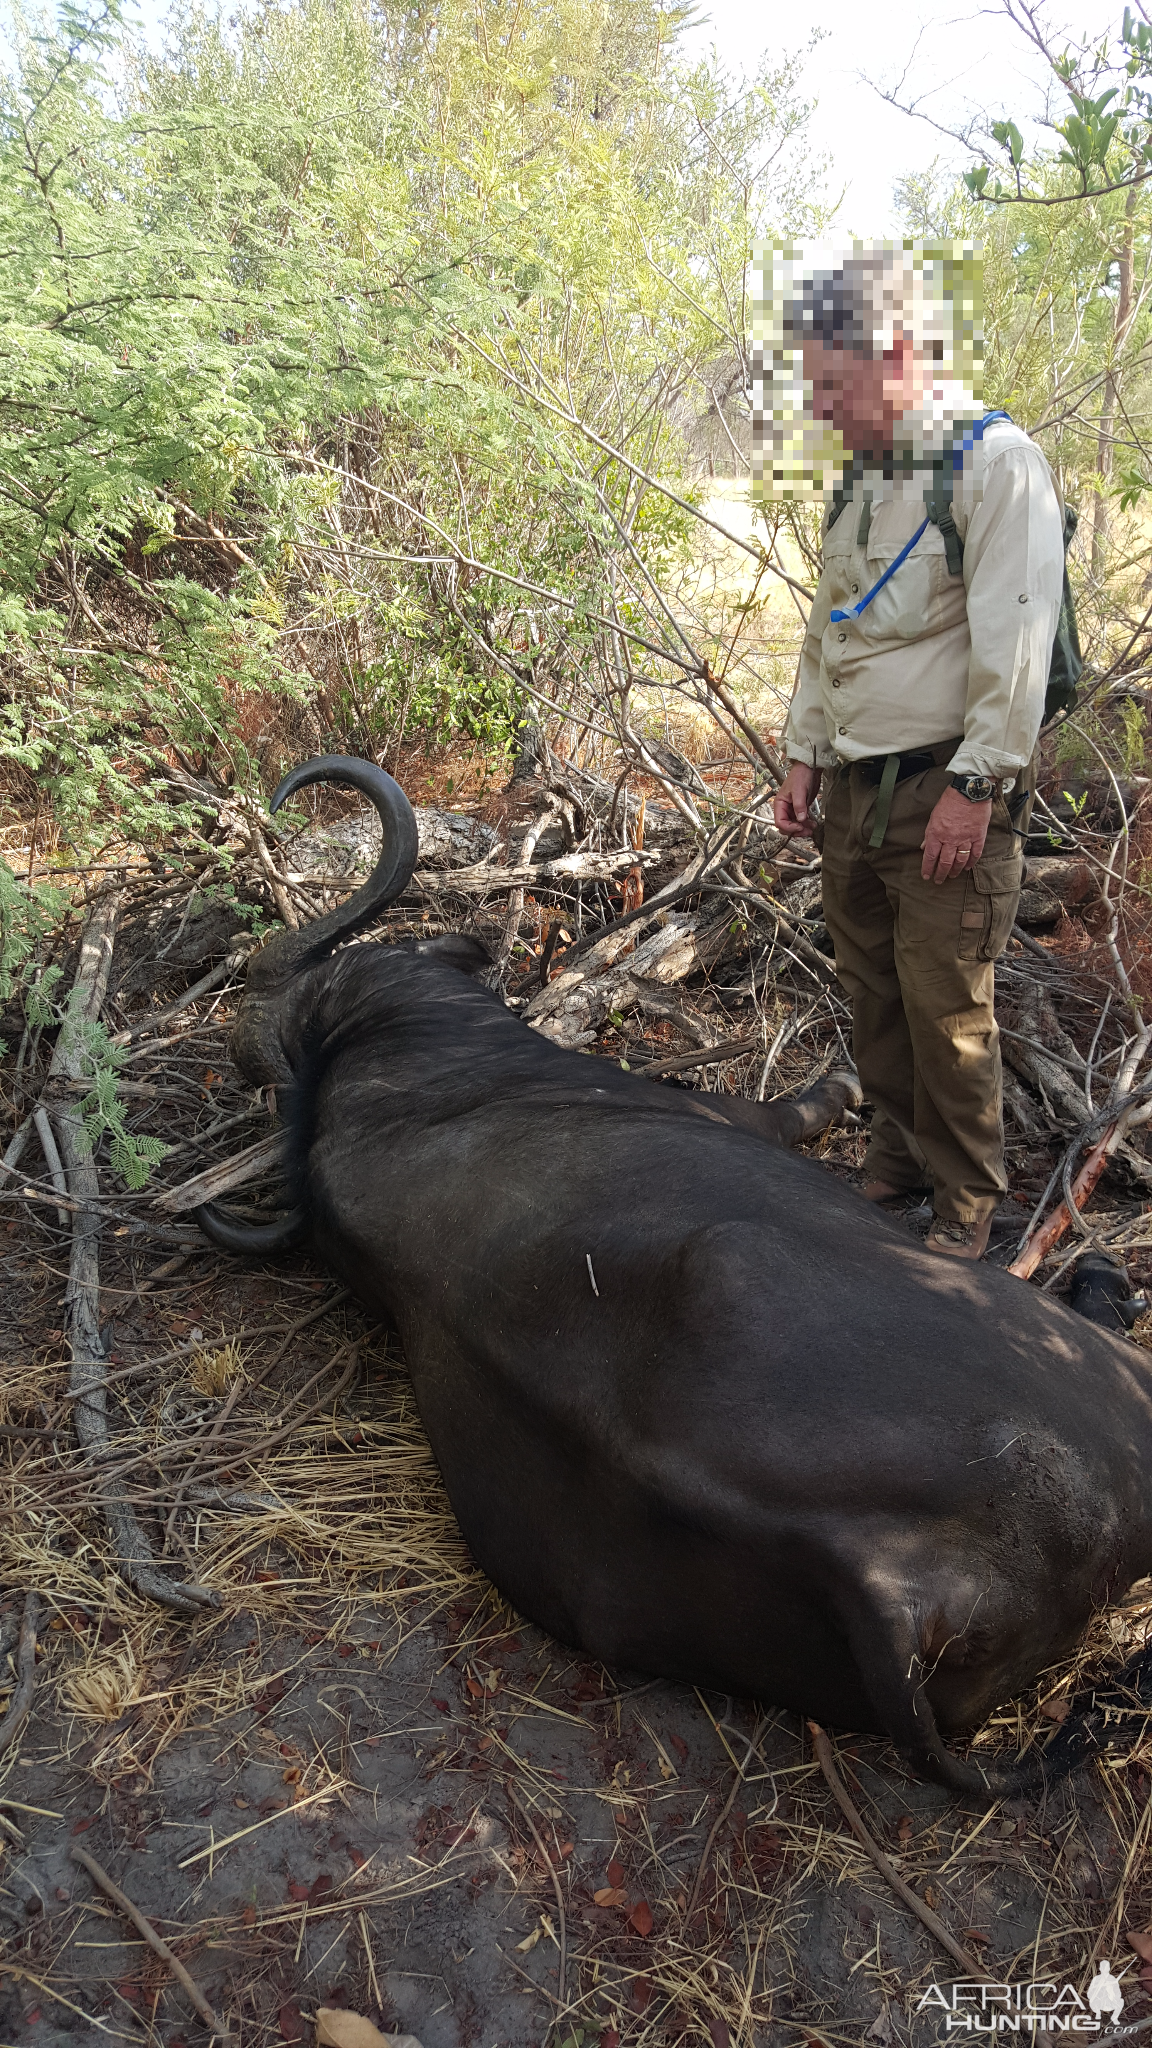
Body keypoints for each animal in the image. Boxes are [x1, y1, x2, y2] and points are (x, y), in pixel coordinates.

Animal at [196, 757, 1147, 1794]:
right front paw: (843, 1085)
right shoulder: (726, 1115)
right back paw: (1102, 1279)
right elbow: (794, 1108)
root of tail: (884, 1585)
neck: (395, 1077)